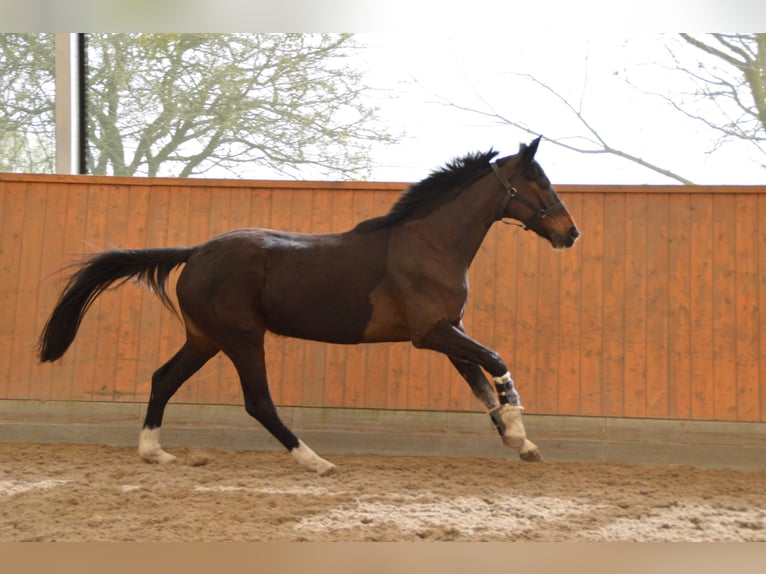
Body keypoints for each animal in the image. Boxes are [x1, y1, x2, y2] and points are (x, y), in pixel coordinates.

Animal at [36, 137, 576, 474]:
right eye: (540, 182)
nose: (570, 233)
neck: (429, 243)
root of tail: (195, 252)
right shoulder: (431, 333)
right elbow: (496, 363)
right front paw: (519, 427)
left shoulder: (447, 331)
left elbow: (481, 384)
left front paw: (520, 442)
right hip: (242, 338)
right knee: (258, 402)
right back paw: (316, 462)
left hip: (205, 338)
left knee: (163, 379)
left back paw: (157, 454)